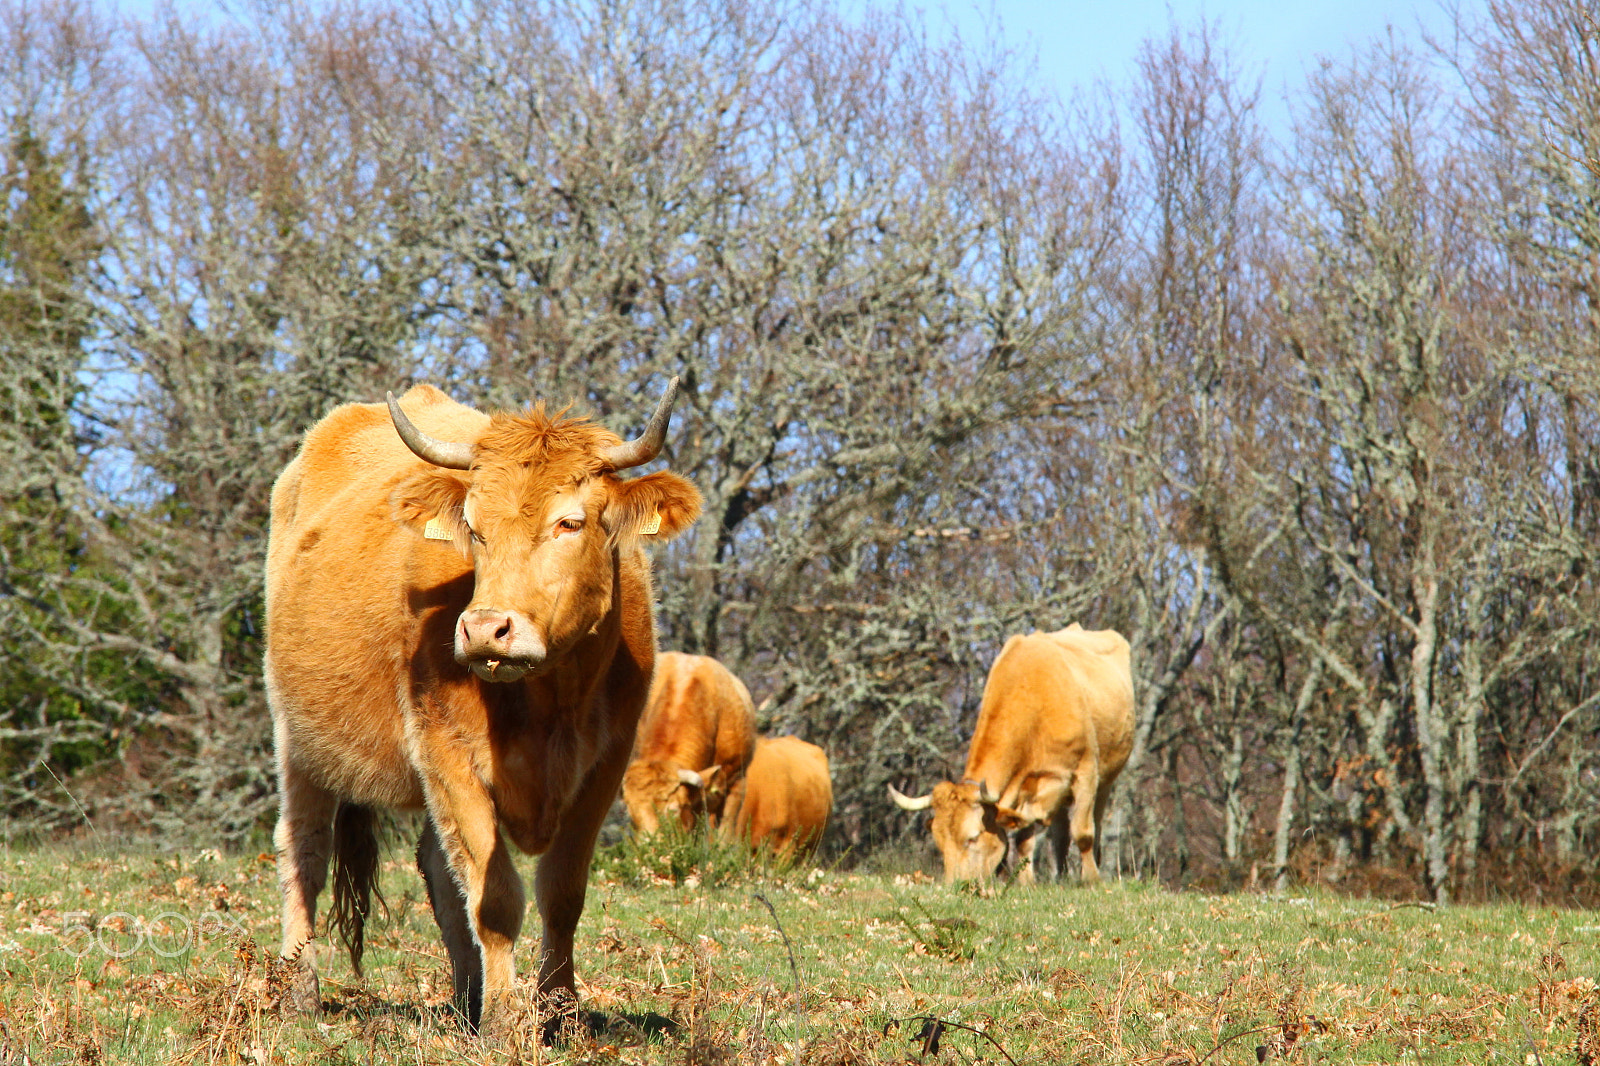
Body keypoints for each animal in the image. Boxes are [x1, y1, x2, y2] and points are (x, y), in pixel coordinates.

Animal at [264, 376, 700, 1030]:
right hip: (298, 736)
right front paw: (503, 1022)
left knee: (439, 872)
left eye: (570, 523)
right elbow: (494, 899)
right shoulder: (447, 753)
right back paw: (299, 993)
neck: (550, 701)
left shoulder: (607, 763)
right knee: (306, 851)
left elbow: (561, 892)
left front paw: (559, 1013)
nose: (485, 629)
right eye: (473, 527)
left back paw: (467, 996)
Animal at [889, 624, 1139, 877]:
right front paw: (1027, 881)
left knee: (1094, 826)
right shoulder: (1025, 789)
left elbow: (1083, 833)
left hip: (1105, 780)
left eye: (973, 837)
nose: (956, 883)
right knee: (1059, 836)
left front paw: (1091, 879)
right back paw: (1060, 876)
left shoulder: (1085, 772)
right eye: (940, 843)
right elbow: (1023, 841)